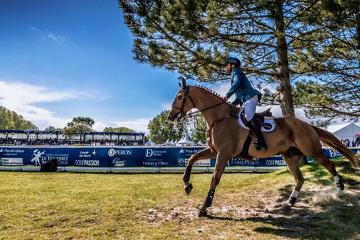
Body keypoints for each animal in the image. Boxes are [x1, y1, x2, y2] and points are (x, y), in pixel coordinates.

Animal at [168, 79, 358, 218]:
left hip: (313, 151)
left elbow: (215, 178)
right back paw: (289, 202)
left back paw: (339, 190)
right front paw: (187, 184)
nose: (171, 116)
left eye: (180, 97)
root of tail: (307, 125)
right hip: (289, 156)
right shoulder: (214, 151)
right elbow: (192, 158)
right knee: (300, 178)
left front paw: (204, 207)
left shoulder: (223, 153)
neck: (219, 118)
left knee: (330, 166)